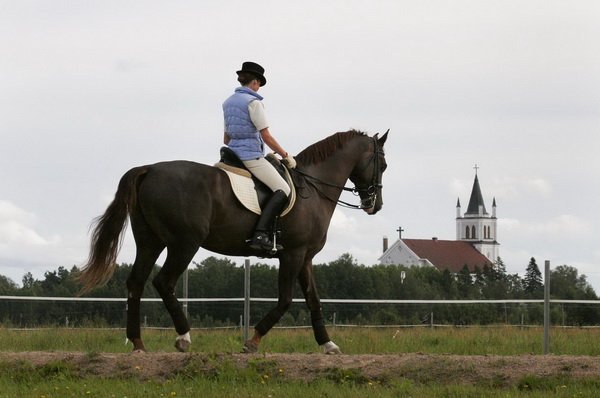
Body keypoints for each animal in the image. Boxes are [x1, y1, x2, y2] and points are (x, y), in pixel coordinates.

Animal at [78, 129, 390, 352]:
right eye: (383, 164)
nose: (375, 205)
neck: (312, 189)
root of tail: (150, 169)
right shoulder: (292, 254)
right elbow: (286, 300)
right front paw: (252, 341)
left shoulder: (305, 257)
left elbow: (314, 300)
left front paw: (328, 343)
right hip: (184, 243)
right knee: (163, 282)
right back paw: (184, 337)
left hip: (150, 241)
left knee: (136, 283)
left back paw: (138, 344)